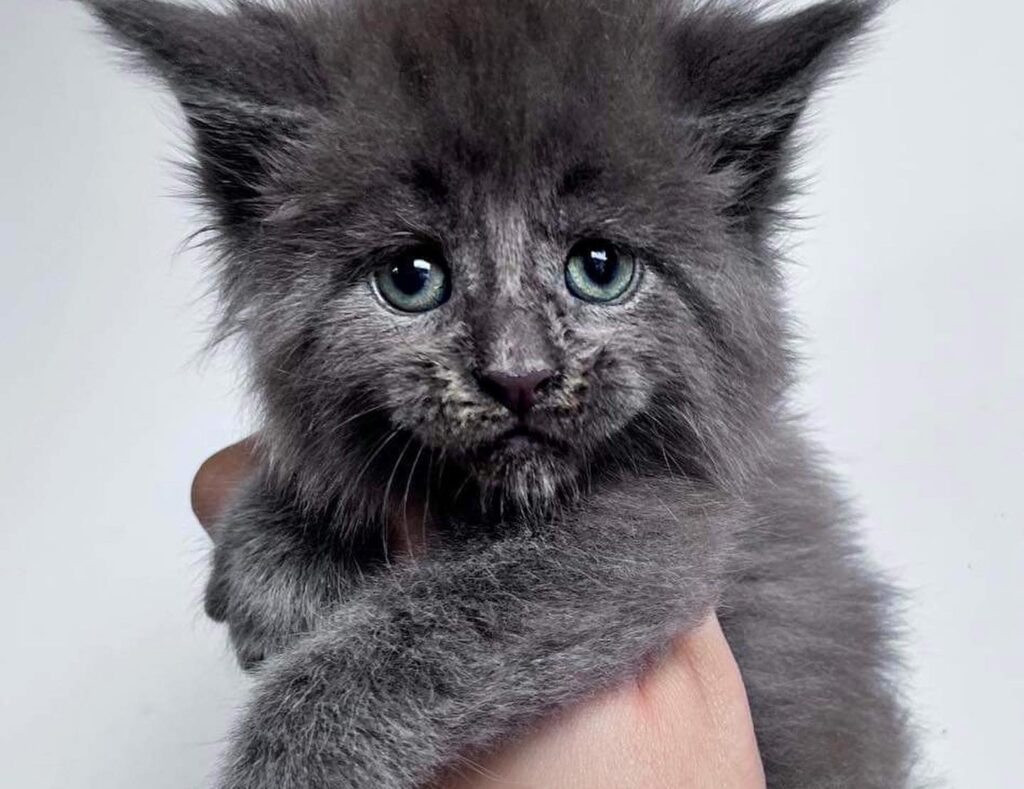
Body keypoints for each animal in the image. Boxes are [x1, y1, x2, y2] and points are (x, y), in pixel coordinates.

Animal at [81, 1, 913, 789]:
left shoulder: (677, 516)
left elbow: (440, 625)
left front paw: (290, 760)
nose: (520, 375)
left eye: (600, 268)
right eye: (411, 277)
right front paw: (278, 546)